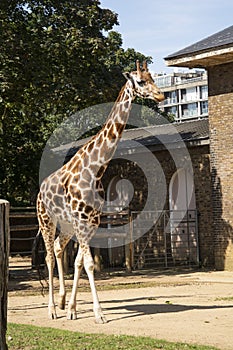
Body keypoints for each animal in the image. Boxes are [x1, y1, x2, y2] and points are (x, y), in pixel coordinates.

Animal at [36, 60, 164, 322]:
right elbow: (88, 263)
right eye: (141, 81)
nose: (161, 95)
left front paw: (73, 309)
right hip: (46, 220)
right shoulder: (82, 220)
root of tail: (39, 191)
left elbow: (80, 263)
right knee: (48, 256)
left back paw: (62, 302)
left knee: (58, 248)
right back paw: (51, 309)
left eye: (153, 78)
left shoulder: (91, 222)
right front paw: (99, 313)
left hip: (66, 225)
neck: (96, 168)